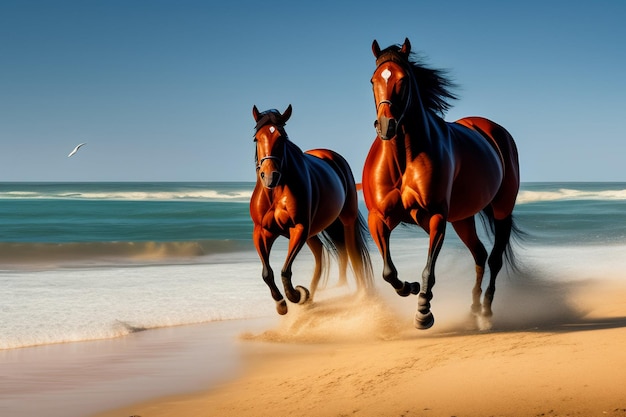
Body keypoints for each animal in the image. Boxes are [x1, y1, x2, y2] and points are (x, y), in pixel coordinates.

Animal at [250, 105, 376, 316]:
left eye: (282, 138)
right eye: (256, 138)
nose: (270, 176)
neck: (276, 192)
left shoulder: (299, 228)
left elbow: (285, 270)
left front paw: (294, 295)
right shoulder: (262, 232)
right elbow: (267, 273)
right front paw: (282, 303)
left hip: (345, 221)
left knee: (352, 253)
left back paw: (361, 294)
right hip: (312, 234)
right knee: (321, 256)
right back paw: (311, 298)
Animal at [360, 39, 520, 330]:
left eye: (403, 79)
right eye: (373, 80)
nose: (387, 126)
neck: (402, 158)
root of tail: (493, 129)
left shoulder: (435, 216)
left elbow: (428, 270)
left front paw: (424, 311)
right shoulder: (379, 217)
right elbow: (389, 272)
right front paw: (410, 287)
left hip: (501, 210)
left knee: (494, 259)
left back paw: (486, 311)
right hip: (463, 219)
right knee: (479, 255)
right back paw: (473, 309)